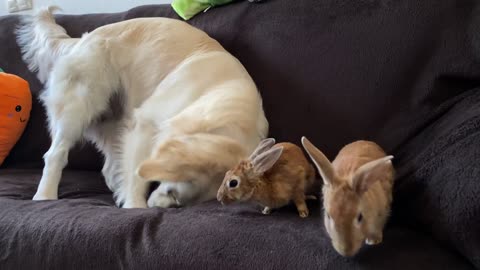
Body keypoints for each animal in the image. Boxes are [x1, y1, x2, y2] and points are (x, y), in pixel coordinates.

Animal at [15, 7, 270, 208]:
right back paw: (44, 196)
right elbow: (137, 172)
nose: (173, 200)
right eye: (187, 174)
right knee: (55, 155)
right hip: (78, 108)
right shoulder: (145, 123)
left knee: (109, 167)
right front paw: (135, 205)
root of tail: (81, 39)